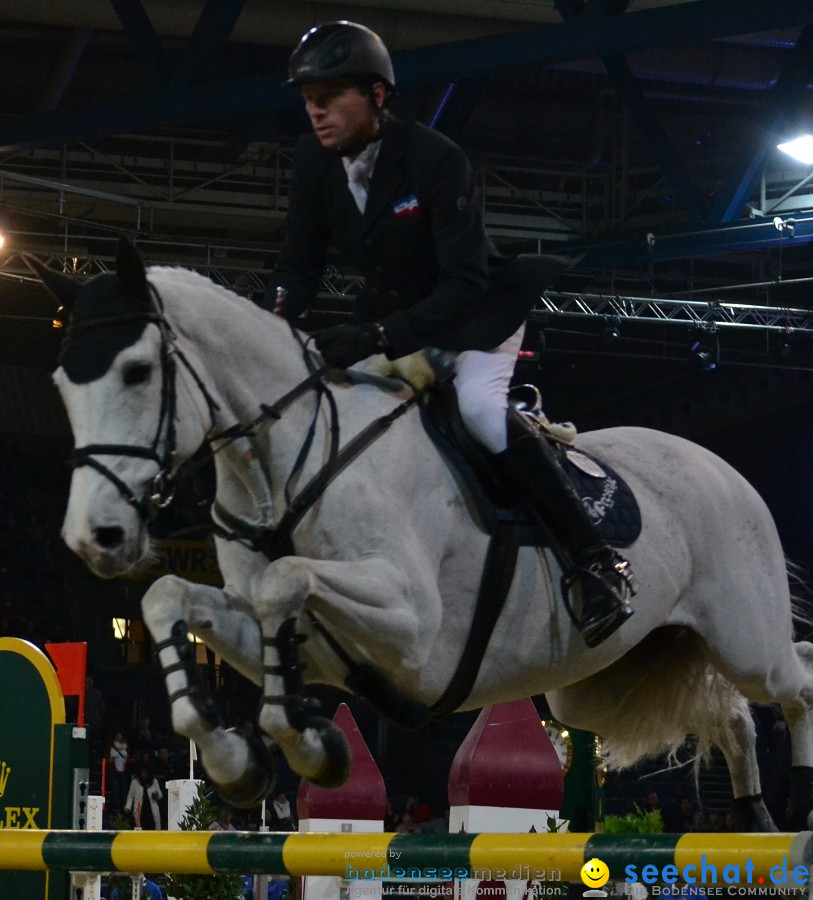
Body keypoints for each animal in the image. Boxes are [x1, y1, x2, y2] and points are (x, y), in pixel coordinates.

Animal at [31, 237, 813, 828]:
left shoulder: (411, 628)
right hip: (594, 684)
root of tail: (719, 465)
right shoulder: (305, 641)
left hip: (745, 640)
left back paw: (790, 806)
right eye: (62, 387)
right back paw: (752, 815)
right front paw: (238, 758)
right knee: (730, 713)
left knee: (793, 678)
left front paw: (307, 746)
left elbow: (286, 580)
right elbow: (169, 596)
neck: (288, 465)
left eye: (137, 371)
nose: (95, 537)